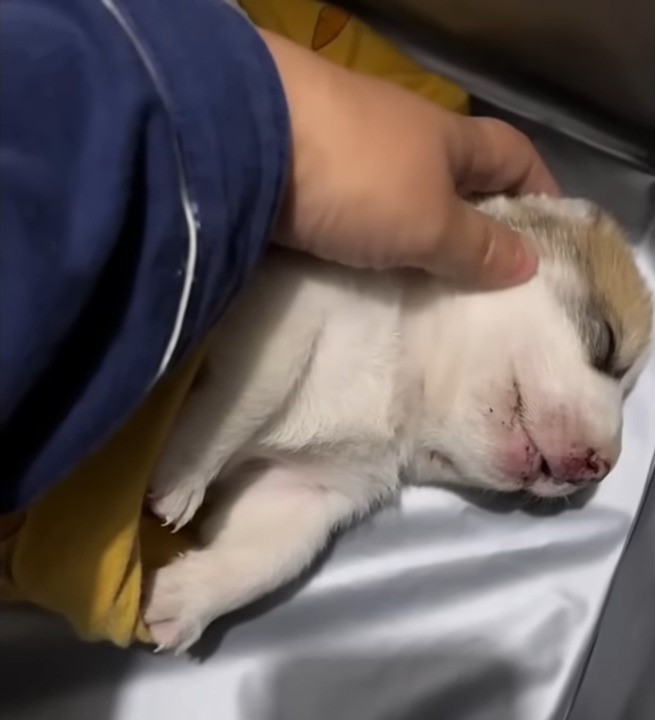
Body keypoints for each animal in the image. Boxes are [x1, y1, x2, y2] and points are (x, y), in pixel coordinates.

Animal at [142, 195, 652, 652]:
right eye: (607, 343)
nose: (603, 467)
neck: (402, 380)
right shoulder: (286, 315)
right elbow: (254, 391)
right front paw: (184, 476)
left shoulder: (307, 491)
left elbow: (268, 558)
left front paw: (181, 600)